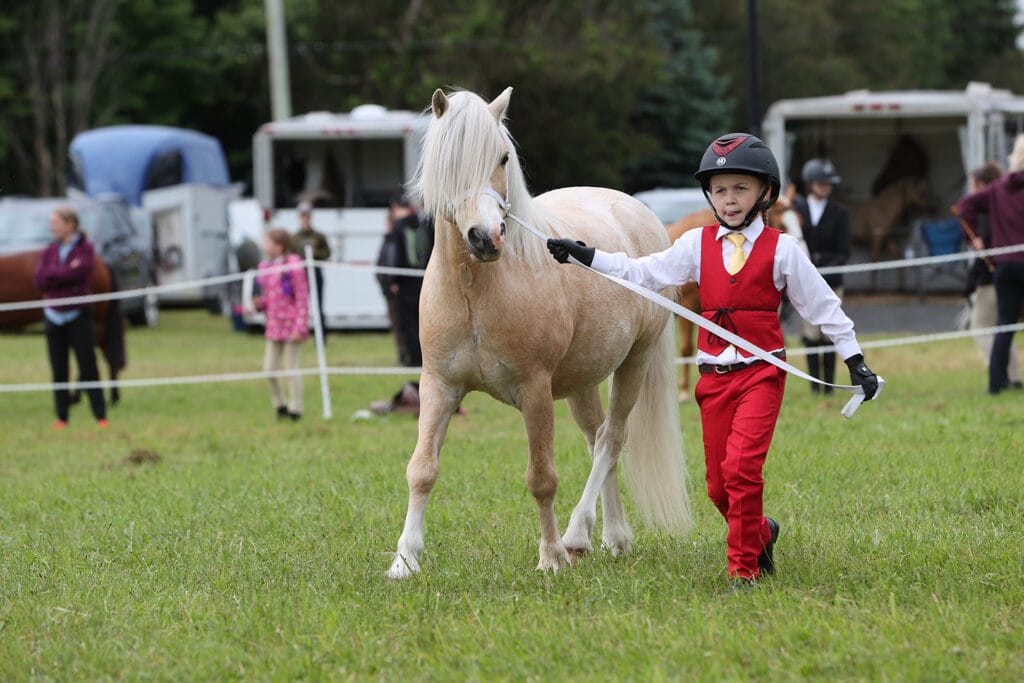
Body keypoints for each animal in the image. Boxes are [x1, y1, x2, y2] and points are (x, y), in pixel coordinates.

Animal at [387, 85, 692, 577]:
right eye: (448, 162)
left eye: (503, 157)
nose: (486, 237)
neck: (476, 291)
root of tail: (639, 211)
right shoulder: (438, 386)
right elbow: (422, 470)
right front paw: (405, 561)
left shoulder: (535, 391)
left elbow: (542, 478)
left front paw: (550, 557)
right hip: (583, 380)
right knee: (597, 440)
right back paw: (611, 537)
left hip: (635, 362)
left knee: (611, 440)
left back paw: (577, 536)